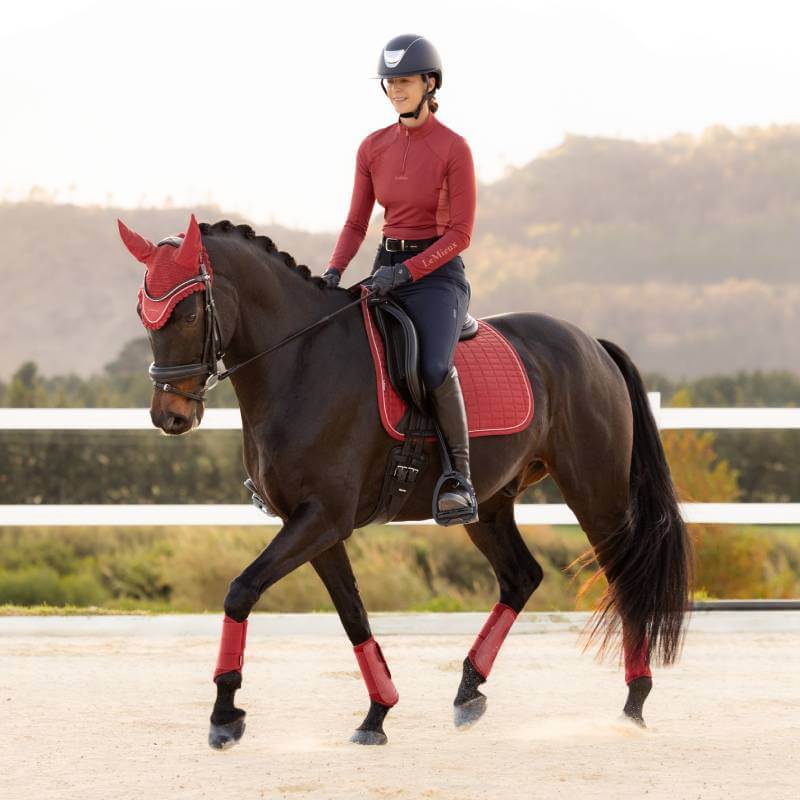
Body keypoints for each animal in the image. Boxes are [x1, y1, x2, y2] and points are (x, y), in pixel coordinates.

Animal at [117, 213, 693, 749]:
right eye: (144, 313)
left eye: (189, 312)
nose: (169, 416)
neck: (302, 362)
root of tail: (590, 343)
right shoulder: (314, 525)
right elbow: (352, 614)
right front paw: (377, 714)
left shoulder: (321, 519)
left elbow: (241, 591)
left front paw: (224, 715)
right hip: (487, 504)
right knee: (521, 576)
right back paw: (469, 690)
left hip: (595, 495)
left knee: (625, 579)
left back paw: (634, 702)